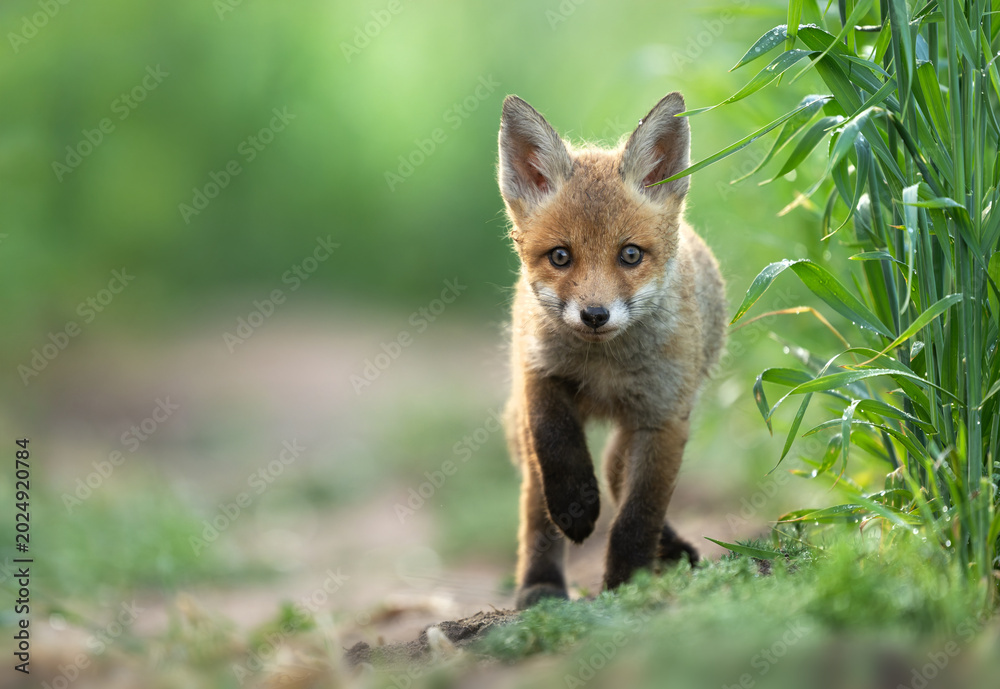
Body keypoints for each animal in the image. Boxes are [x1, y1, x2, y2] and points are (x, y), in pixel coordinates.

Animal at [496, 92, 727, 609]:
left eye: (631, 255)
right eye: (561, 256)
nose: (595, 315)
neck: (604, 367)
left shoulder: (662, 418)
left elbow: (638, 516)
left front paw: (626, 585)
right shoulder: (537, 371)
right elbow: (557, 445)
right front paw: (576, 506)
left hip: (636, 429)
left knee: (618, 475)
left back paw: (670, 549)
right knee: (538, 504)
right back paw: (540, 585)